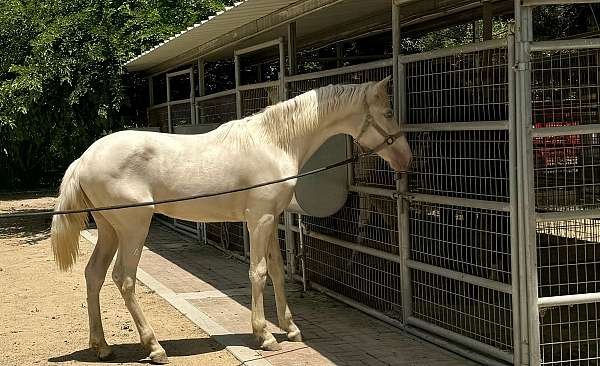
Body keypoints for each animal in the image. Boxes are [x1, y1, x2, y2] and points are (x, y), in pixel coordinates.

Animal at [50, 78, 412, 364]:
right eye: (388, 113)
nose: (407, 159)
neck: (275, 143)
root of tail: (84, 158)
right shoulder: (259, 220)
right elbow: (258, 273)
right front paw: (265, 335)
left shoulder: (273, 219)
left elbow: (277, 271)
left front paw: (291, 328)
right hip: (134, 228)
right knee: (124, 279)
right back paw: (154, 348)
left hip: (109, 229)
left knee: (94, 274)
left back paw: (101, 347)